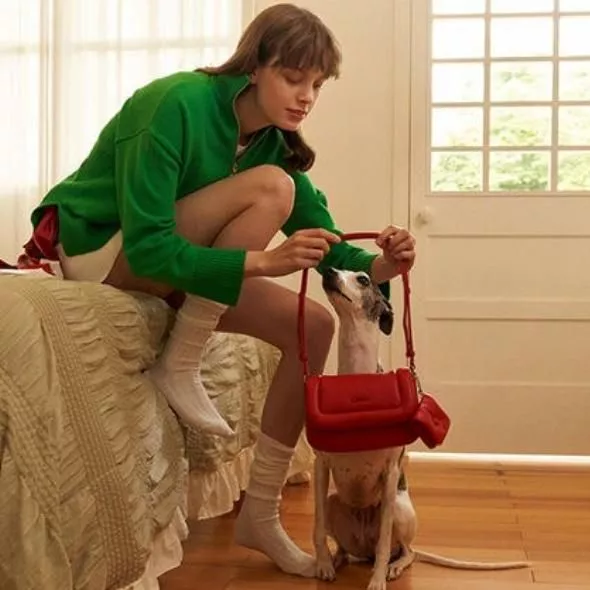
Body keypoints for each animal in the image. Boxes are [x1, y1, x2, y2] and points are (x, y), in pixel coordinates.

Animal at [312, 268, 530, 590]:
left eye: (363, 278)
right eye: (338, 268)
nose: (329, 270)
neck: (357, 380)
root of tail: (362, 550)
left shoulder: (390, 474)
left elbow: (385, 541)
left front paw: (377, 581)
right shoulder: (321, 466)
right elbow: (316, 528)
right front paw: (323, 565)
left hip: (400, 510)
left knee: (404, 550)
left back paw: (392, 567)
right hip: (334, 503)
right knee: (344, 545)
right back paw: (337, 560)